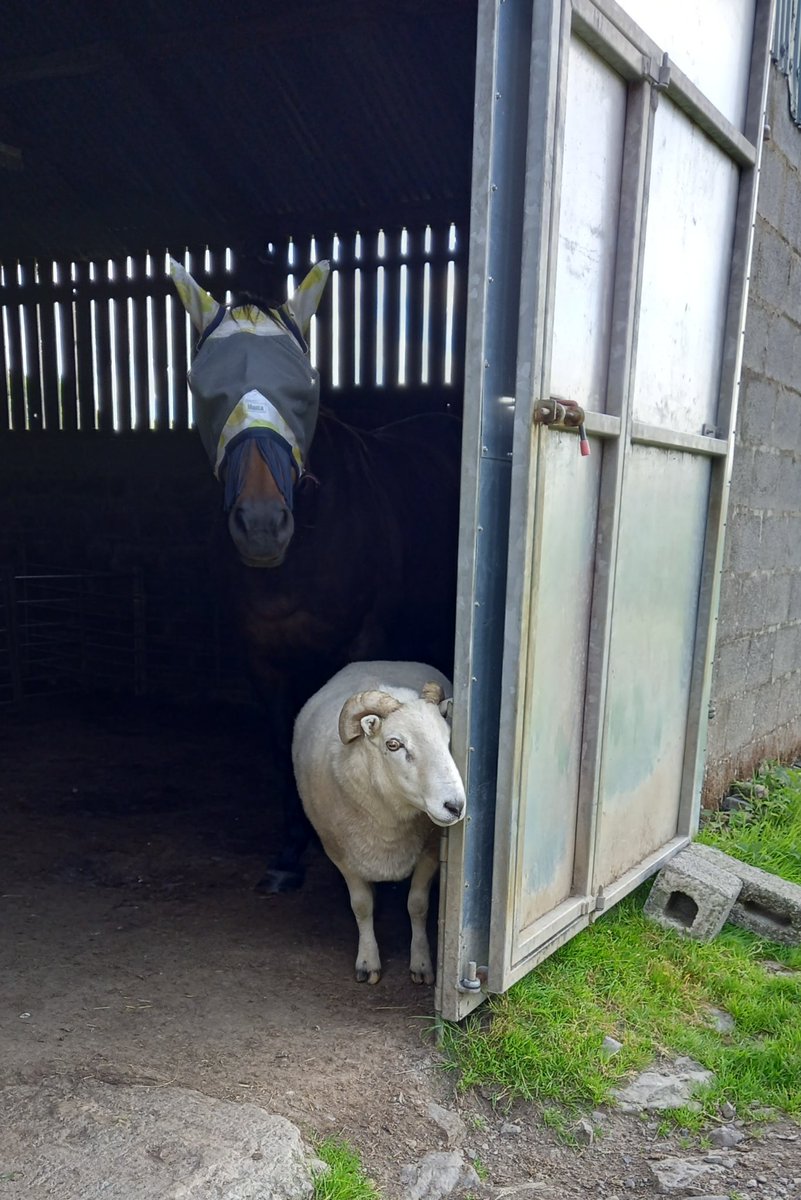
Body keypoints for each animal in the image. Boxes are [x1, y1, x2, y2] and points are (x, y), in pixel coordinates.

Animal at [171, 259, 462, 892]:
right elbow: (284, 748)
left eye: (303, 386)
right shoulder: (263, 660)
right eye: (203, 388)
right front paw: (289, 853)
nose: (261, 524)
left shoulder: (363, 643)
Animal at [292, 660, 466, 985]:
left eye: (448, 740)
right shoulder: (340, 854)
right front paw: (367, 962)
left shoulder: (430, 851)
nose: (455, 805)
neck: (389, 820)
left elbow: (417, 906)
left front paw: (421, 963)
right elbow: (361, 906)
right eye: (394, 744)